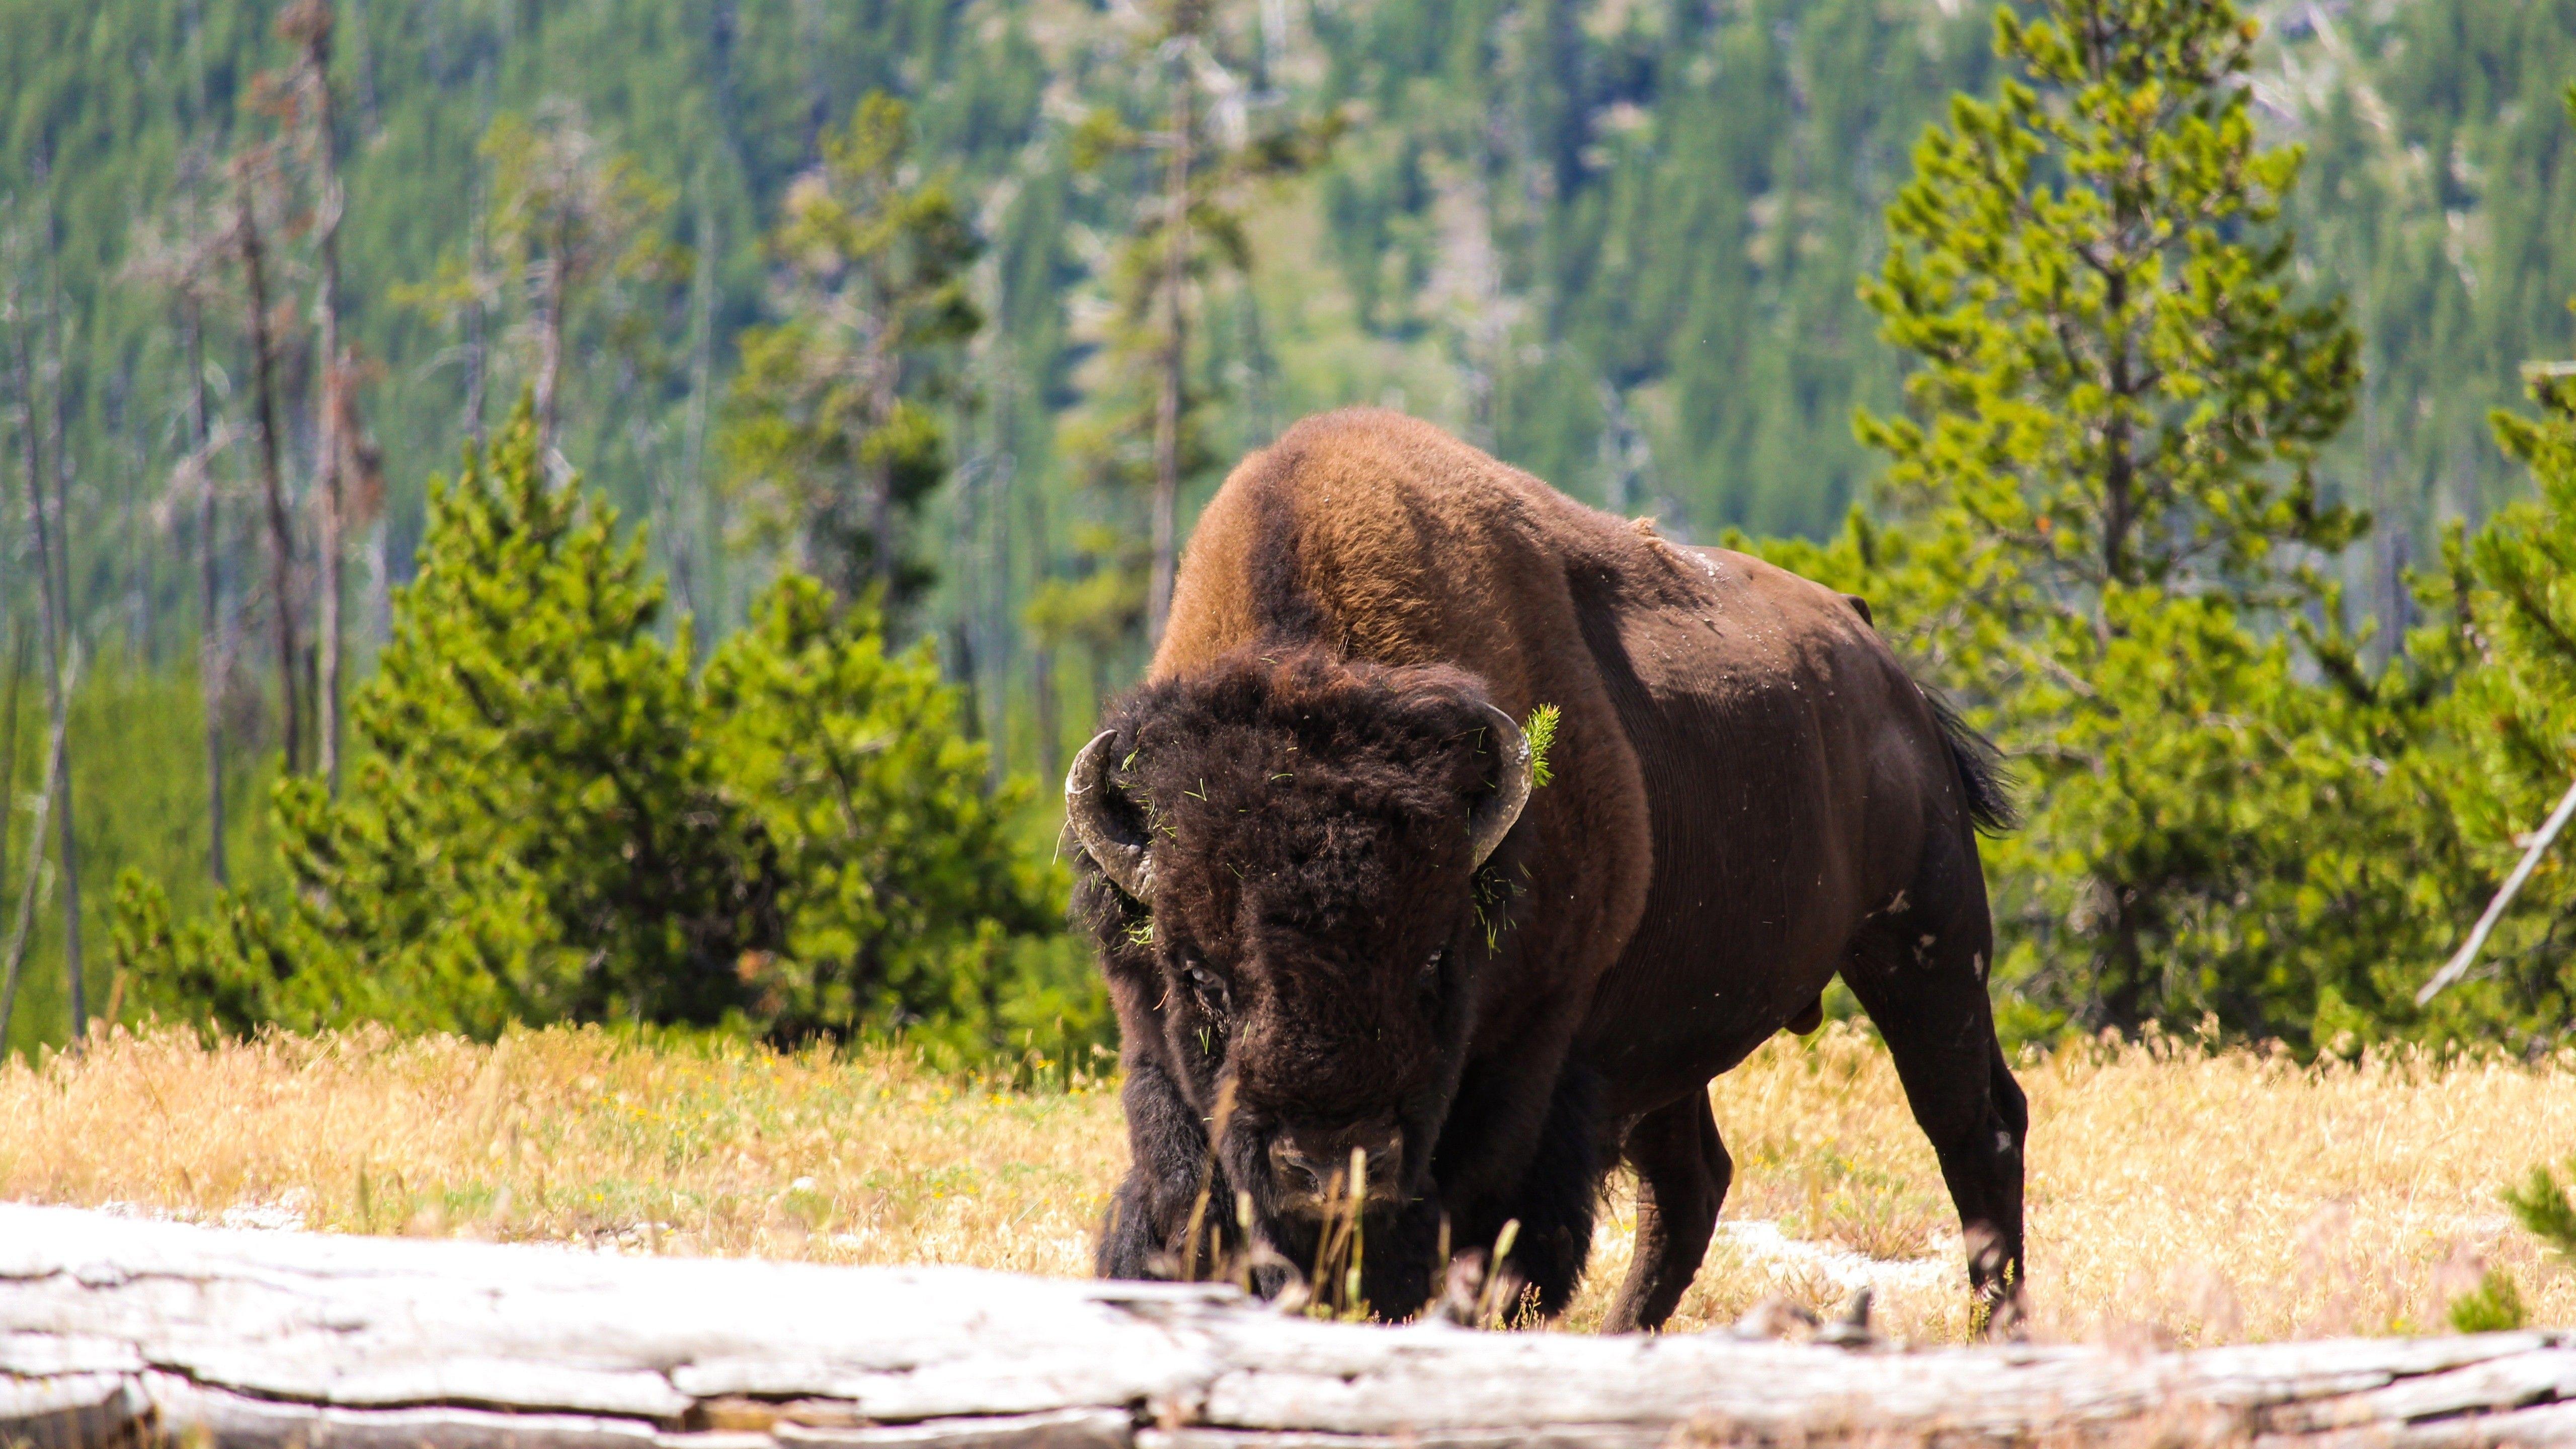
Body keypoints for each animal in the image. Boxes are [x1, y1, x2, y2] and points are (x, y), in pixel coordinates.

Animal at [1065, 409, 2025, 1331]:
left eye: (1434, 961)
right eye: (1199, 976)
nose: (1332, 1167)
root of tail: (1878, 656)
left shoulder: (1535, 1060)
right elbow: (1183, 1207)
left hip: (1927, 945)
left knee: (1977, 1128)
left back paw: (1995, 1328)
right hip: (1675, 1038)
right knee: (1692, 1183)